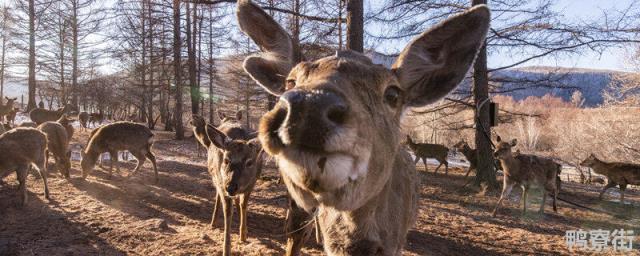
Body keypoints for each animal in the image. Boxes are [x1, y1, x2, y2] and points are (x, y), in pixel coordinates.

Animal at [190, 114, 262, 256]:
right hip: (216, 178)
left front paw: (243, 234)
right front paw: (226, 249)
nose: (231, 187)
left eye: (249, 162)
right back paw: (213, 222)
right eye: (226, 160)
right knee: (218, 196)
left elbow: (244, 205)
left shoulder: (252, 183)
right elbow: (228, 212)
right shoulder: (221, 183)